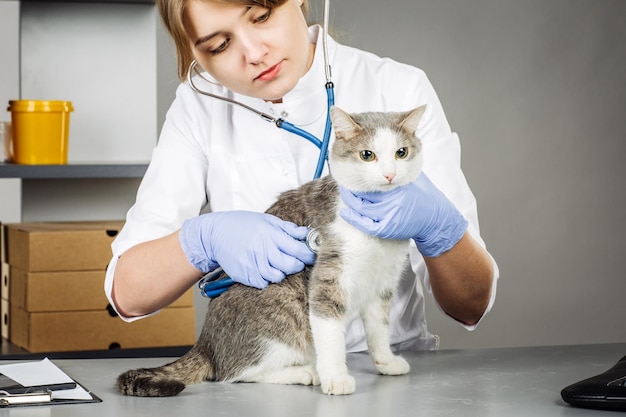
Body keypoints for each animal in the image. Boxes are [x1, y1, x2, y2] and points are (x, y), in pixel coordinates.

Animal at [114, 105, 424, 396]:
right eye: (367, 155)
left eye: (401, 152)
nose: (389, 174)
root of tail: (205, 343)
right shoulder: (328, 279)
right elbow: (330, 335)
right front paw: (335, 376)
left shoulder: (382, 284)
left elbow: (379, 329)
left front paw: (386, 362)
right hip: (280, 316)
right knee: (236, 373)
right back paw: (304, 372)